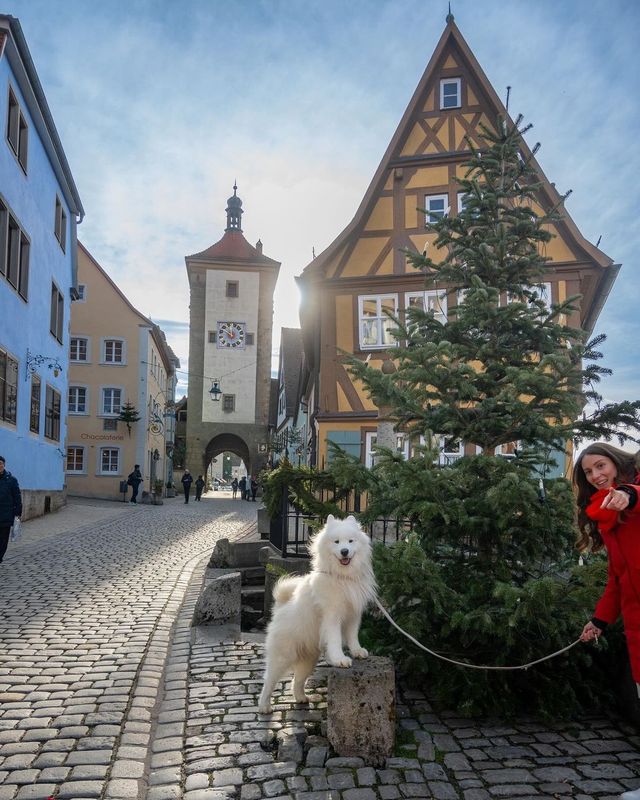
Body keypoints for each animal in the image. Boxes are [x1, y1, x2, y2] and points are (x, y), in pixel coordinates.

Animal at [258, 516, 378, 716]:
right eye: (336, 542)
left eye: (350, 541)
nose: (344, 551)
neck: (342, 577)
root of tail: (280, 607)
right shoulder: (332, 616)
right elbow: (336, 640)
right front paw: (340, 659)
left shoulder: (353, 615)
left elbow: (352, 637)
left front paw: (357, 651)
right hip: (283, 656)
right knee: (269, 681)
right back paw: (264, 706)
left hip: (308, 660)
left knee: (297, 680)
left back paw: (301, 698)